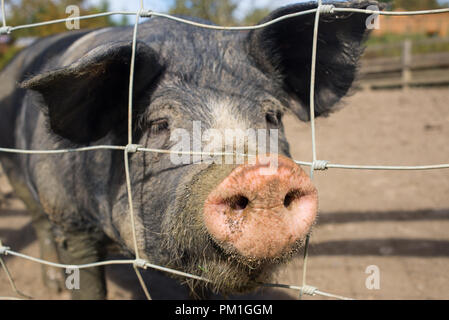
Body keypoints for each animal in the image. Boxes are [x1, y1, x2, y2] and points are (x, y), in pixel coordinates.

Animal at [0, 1, 378, 298]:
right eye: (157, 124)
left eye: (273, 115)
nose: (264, 175)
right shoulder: (72, 222)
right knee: (39, 221)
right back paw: (53, 285)